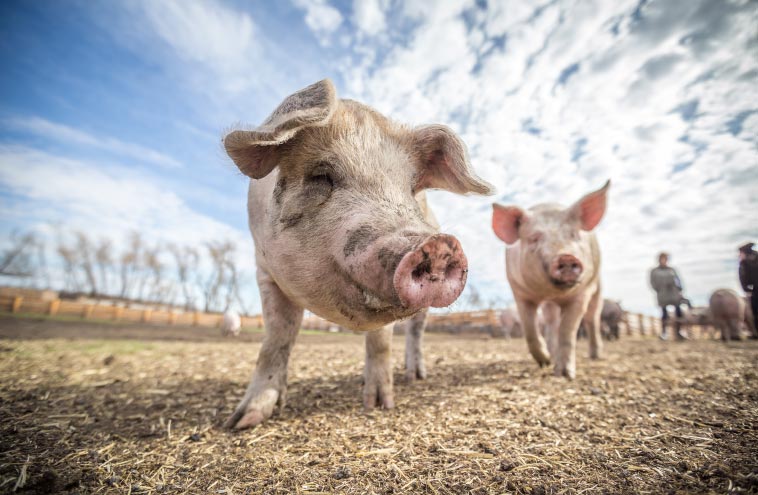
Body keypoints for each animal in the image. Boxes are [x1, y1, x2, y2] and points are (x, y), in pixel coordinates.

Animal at [221, 79, 492, 428]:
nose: (436, 245)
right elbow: (277, 337)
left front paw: (379, 405)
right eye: (321, 175)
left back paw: (414, 377)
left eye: (410, 189)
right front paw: (241, 421)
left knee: (416, 332)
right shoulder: (264, 271)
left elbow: (380, 342)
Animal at [492, 182, 612, 380]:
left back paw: (595, 355)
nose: (566, 257)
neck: (550, 291)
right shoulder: (519, 292)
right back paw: (551, 354)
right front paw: (545, 362)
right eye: (534, 238)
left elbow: (567, 330)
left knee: (592, 318)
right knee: (551, 322)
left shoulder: (582, 292)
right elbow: (530, 330)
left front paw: (565, 375)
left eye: (573, 234)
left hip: (598, 285)